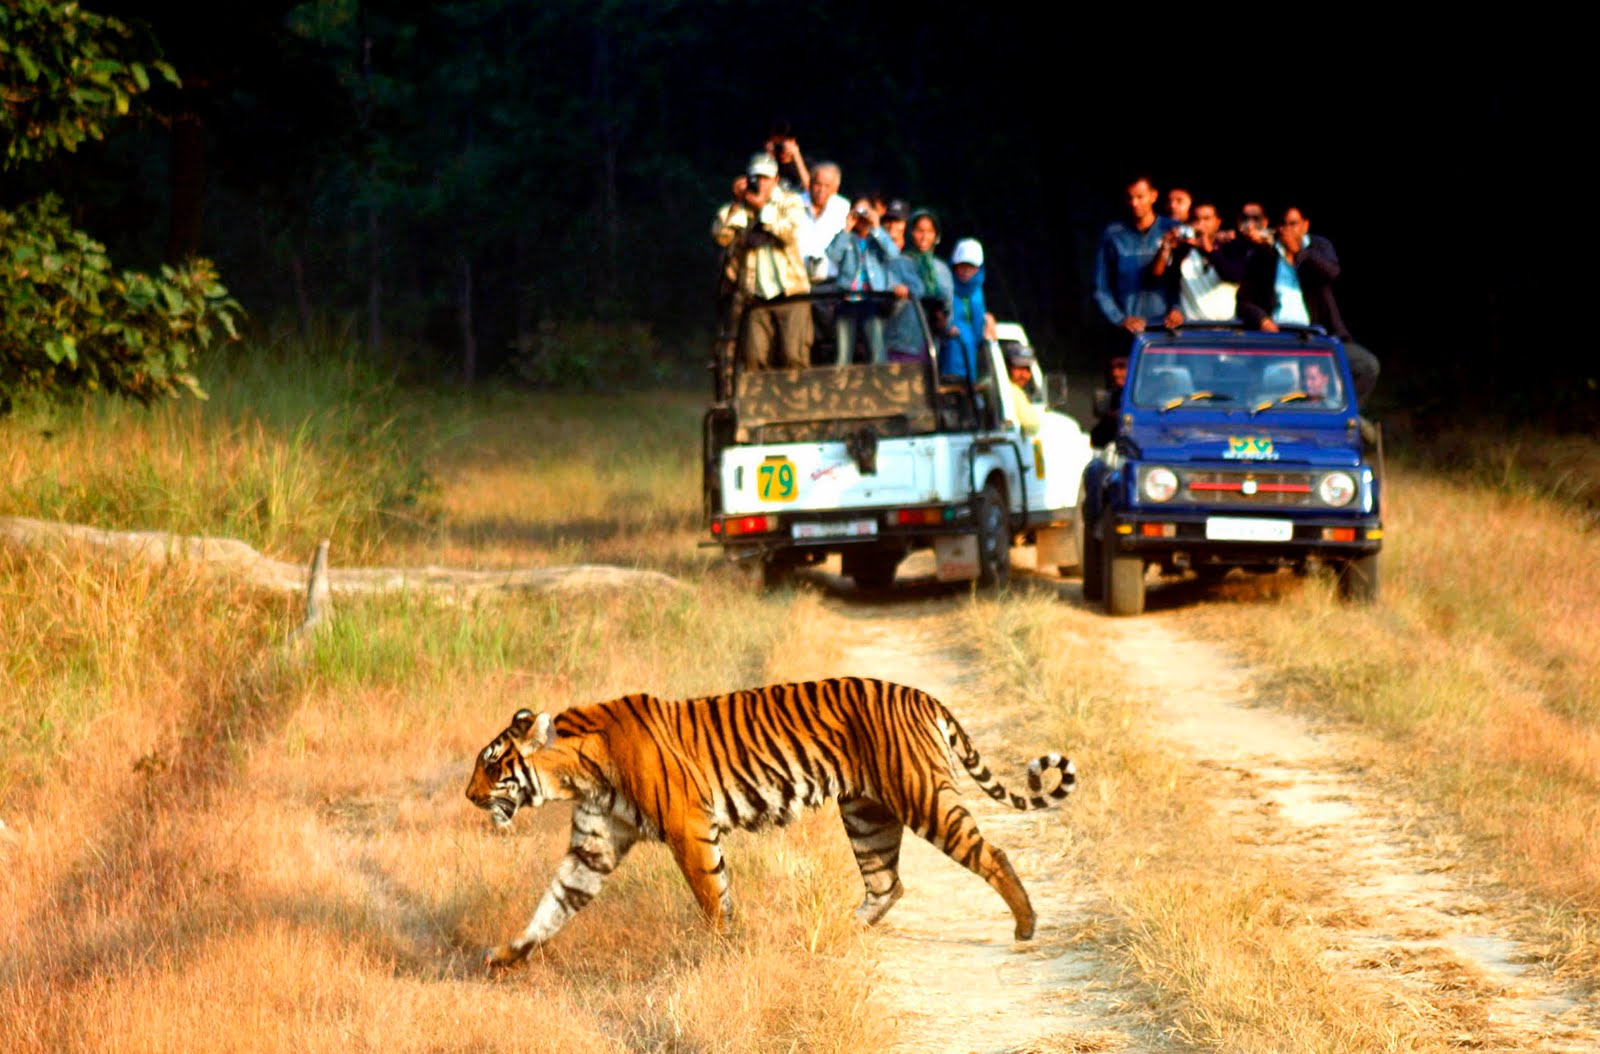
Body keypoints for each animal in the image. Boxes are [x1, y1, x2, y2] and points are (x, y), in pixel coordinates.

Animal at [467, 674, 1081, 966]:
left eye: (492, 764)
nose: (469, 795)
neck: (577, 772)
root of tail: (924, 697)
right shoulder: (592, 848)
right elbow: (552, 905)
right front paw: (507, 957)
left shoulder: (689, 829)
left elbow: (713, 897)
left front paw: (721, 950)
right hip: (866, 814)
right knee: (887, 882)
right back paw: (832, 934)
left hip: (923, 796)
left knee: (991, 853)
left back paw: (1026, 925)